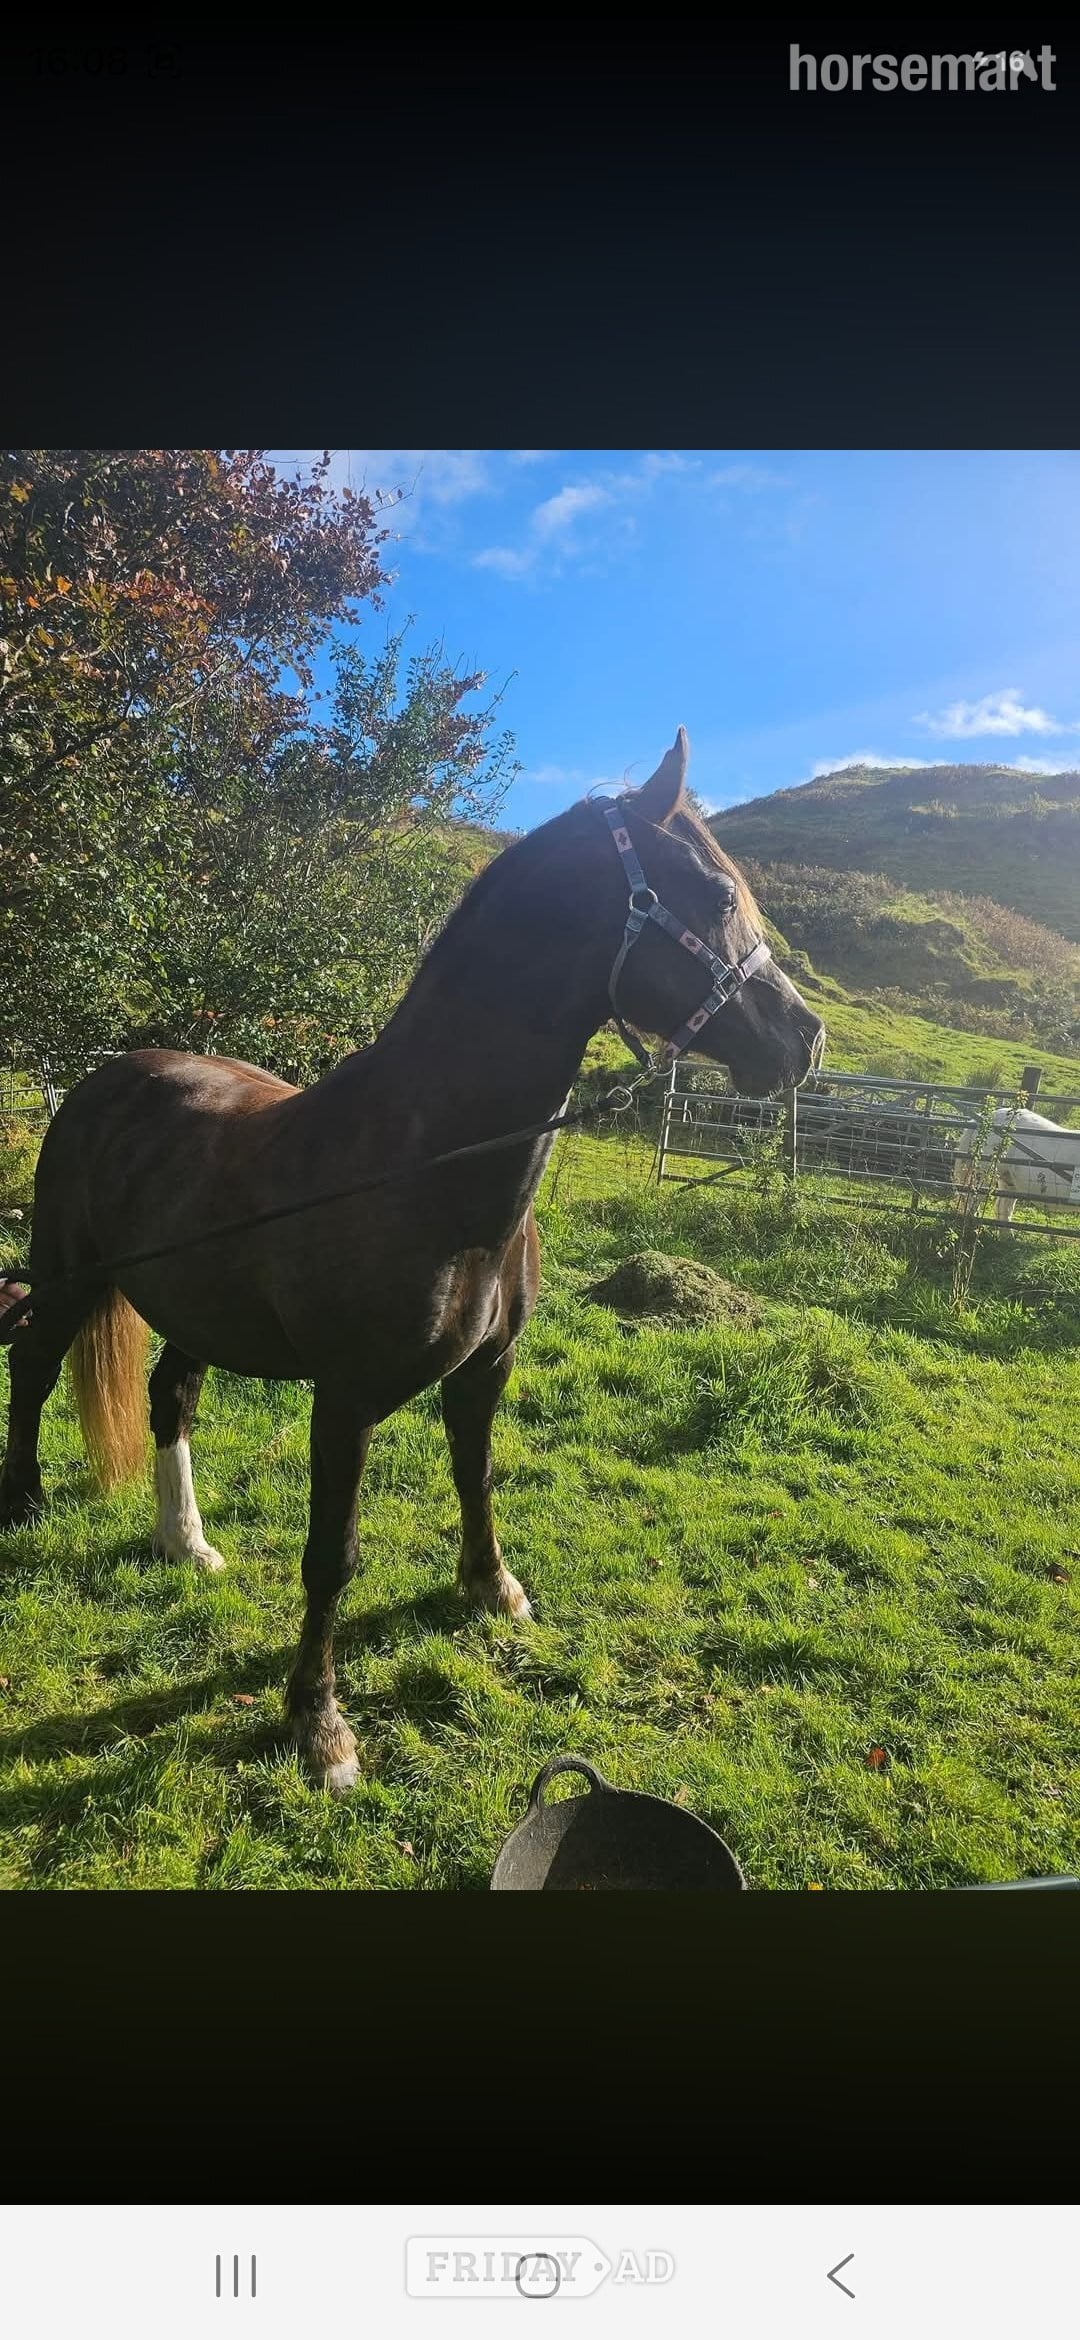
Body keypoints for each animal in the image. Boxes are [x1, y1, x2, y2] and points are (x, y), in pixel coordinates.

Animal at [0, 730, 825, 1791]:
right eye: (718, 897)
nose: (804, 1039)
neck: (428, 1166)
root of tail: (106, 1078)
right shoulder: (345, 1398)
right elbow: (332, 1555)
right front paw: (319, 1728)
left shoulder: (485, 1369)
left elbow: (477, 1477)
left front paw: (492, 1589)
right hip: (68, 1274)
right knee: (33, 1364)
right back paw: (23, 1503)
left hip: (194, 1307)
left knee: (168, 1397)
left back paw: (186, 1544)